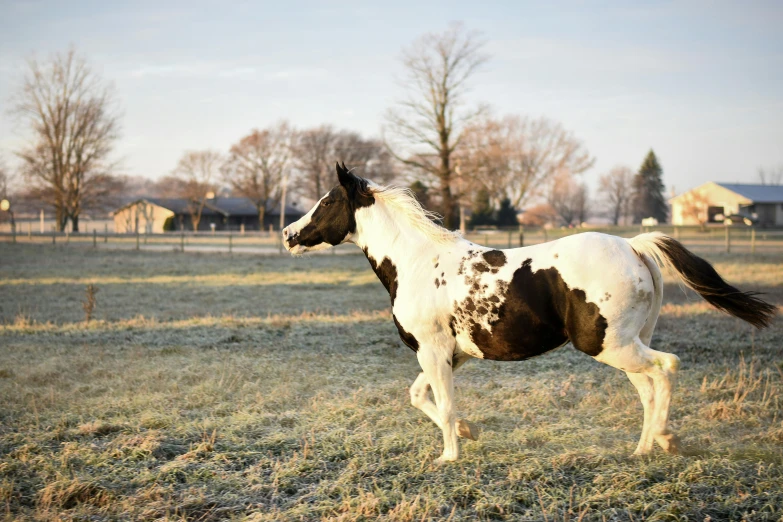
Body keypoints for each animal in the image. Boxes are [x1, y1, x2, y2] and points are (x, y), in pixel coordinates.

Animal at [284, 161, 776, 460]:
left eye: (327, 202)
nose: (289, 234)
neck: (418, 263)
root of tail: (634, 246)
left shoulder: (433, 350)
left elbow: (442, 404)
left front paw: (448, 457)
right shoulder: (450, 355)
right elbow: (420, 396)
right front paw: (469, 433)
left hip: (610, 345)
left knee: (666, 368)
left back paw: (665, 441)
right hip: (626, 344)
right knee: (648, 388)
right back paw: (643, 449)